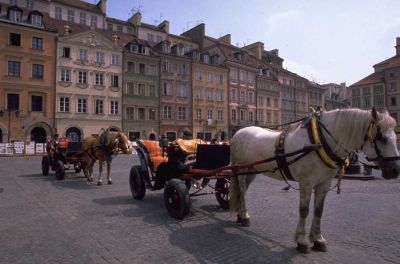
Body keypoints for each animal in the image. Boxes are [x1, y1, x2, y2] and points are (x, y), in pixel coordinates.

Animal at [228, 107, 400, 254]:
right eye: (382, 138)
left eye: (395, 137)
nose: (395, 170)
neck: (319, 141)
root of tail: (238, 132)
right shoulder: (306, 183)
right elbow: (304, 210)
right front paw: (302, 241)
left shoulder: (323, 183)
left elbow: (318, 210)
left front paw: (317, 239)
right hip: (241, 170)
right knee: (241, 190)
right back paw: (244, 216)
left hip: (253, 170)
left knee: (242, 192)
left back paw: (240, 215)